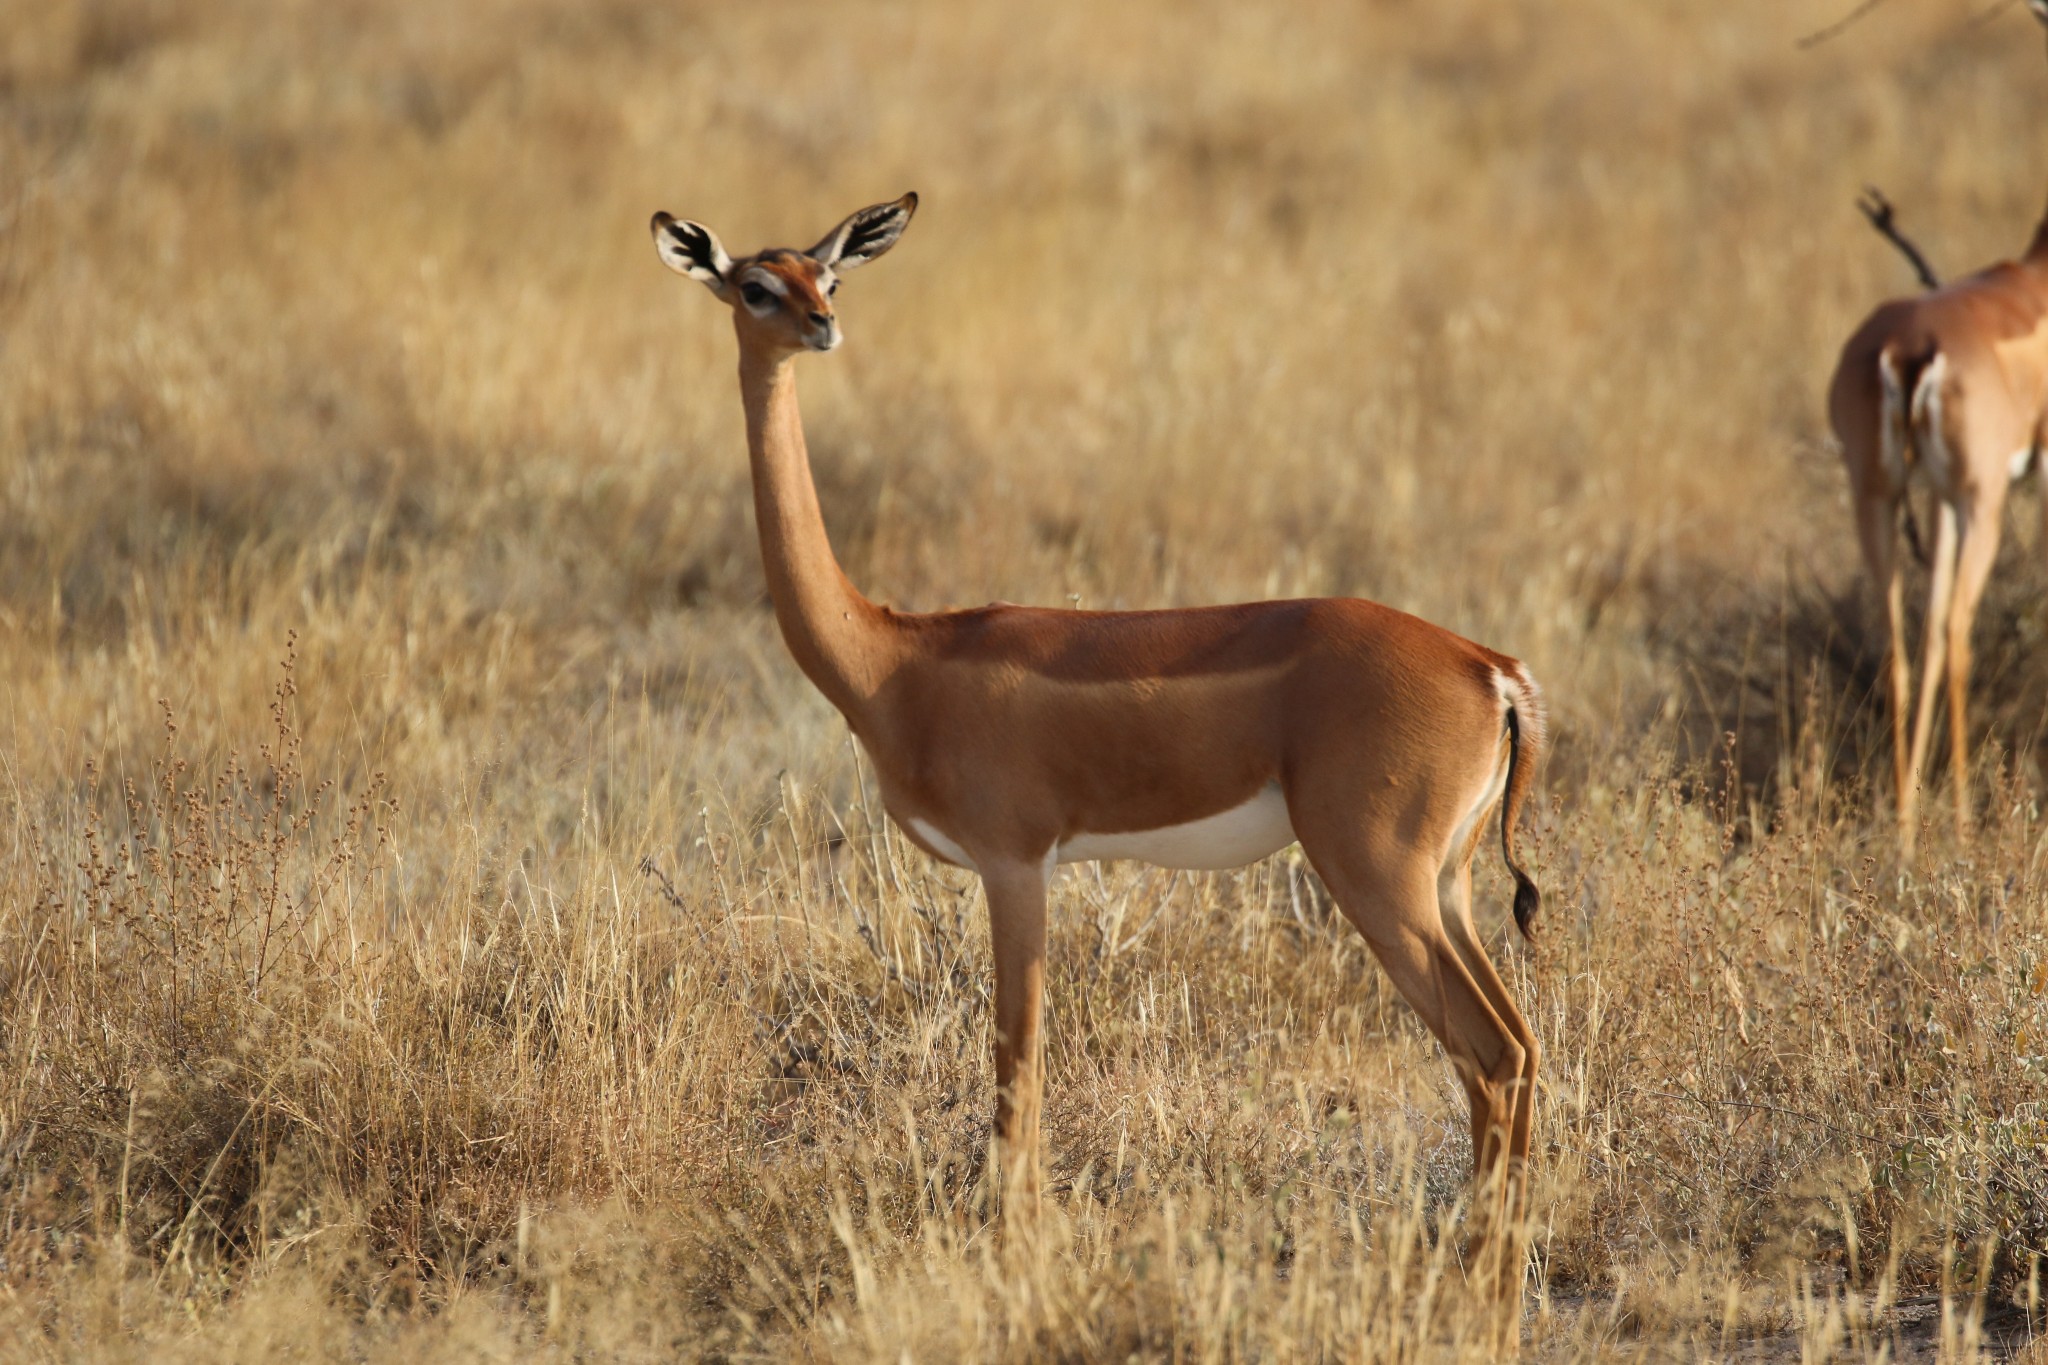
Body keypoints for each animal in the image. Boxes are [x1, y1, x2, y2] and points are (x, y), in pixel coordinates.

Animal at [655, 192, 1548, 1293]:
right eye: (756, 285)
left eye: (826, 277)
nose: (822, 325)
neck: (893, 658)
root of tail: (1487, 666)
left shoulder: (1014, 863)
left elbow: (1016, 1060)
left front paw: (1014, 1259)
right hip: (1448, 884)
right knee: (1515, 1049)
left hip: (1378, 877)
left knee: (1491, 1055)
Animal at [1835, 194, 2048, 855]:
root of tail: (1907, 350)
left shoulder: (1935, 501)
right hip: (1981, 502)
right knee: (1957, 633)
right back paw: (1959, 824)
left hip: (1878, 497)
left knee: (1903, 643)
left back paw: (1906, 826)